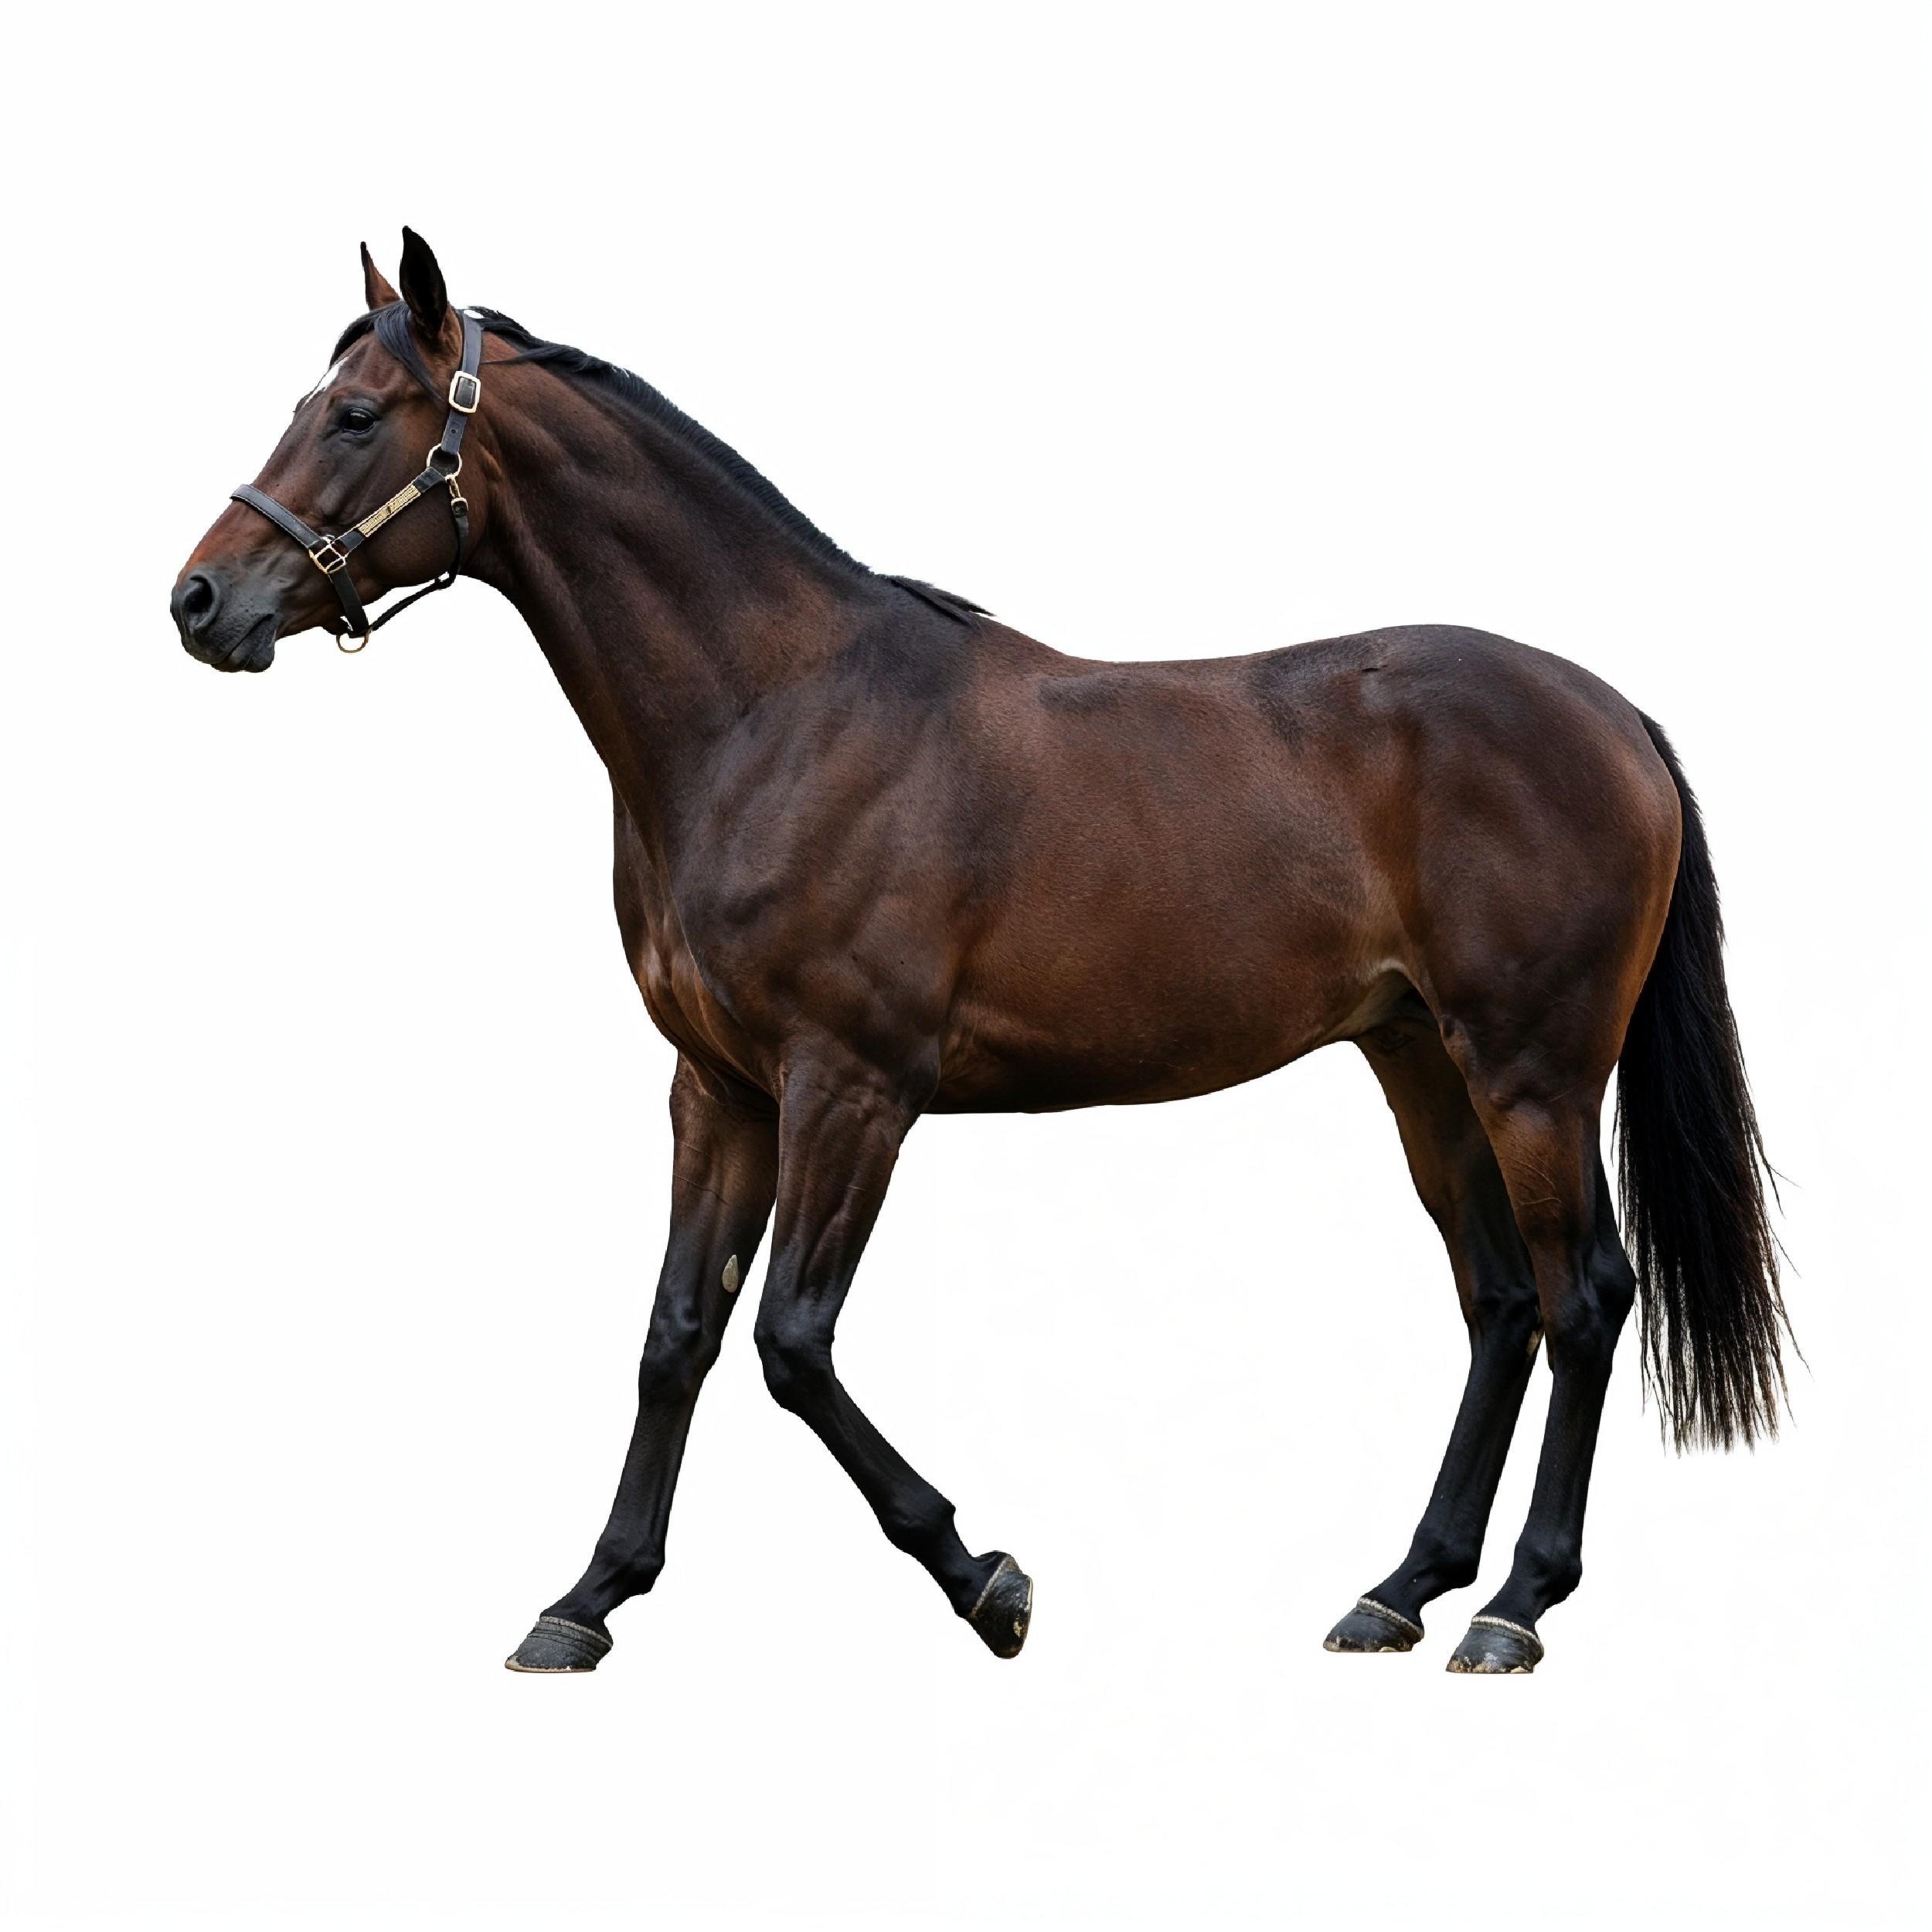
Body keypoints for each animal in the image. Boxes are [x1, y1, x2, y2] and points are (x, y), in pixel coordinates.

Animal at [171, 231, 1788, 1676]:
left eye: (357, 415)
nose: (200, 600)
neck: (777, 713)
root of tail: (1615, 716)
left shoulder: (851, 1088)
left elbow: (792, 1343)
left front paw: (986, 1579)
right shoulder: (718, 1089)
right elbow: (677, 1334)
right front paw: (586, 1602)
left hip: (1531, 1075)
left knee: (1584, 1299)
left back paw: (1515, 1607)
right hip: (1419, 1062)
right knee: (1501, 1303)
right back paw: (1401, 1593)